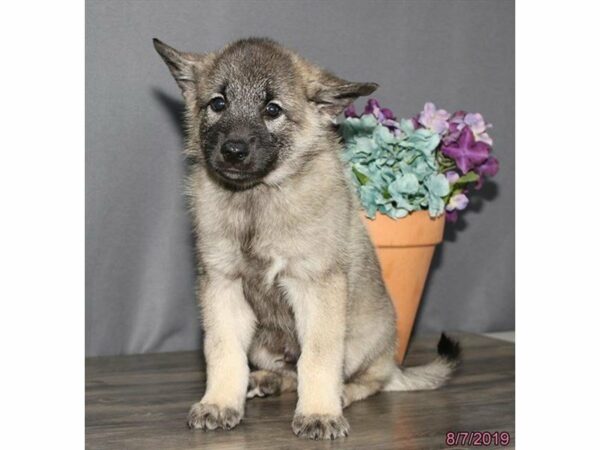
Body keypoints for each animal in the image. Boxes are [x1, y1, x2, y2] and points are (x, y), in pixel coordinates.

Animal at [155, 38, 460, 440]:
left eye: (272, 109)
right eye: (218, 103)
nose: (233, 151)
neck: (256, 200)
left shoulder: (315, 287)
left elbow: (317, 357)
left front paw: (319, 413)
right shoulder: (223, 286)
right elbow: (223, 351)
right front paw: (219, 403)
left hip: (363, 344)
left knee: (369, 380)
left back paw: (341, 394)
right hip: (262, 340)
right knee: (287, 372)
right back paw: (265, 380)